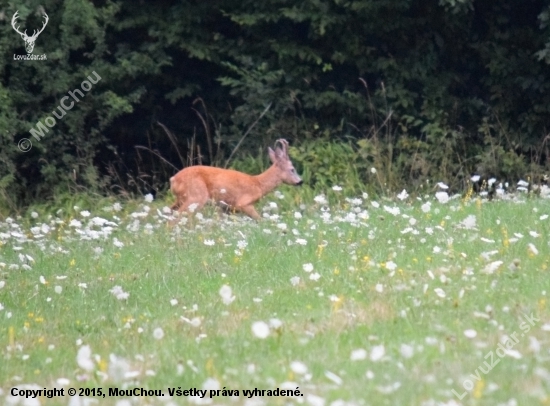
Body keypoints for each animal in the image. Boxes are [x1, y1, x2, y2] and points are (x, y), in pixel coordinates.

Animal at [170, 139, 304, 220]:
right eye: (292, 169)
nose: (300, 181)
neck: (258, 183)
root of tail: (173, 179)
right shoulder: (243, 203)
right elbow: (260, 219)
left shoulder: (226, 209)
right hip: (196, 196)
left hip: (181, 199)